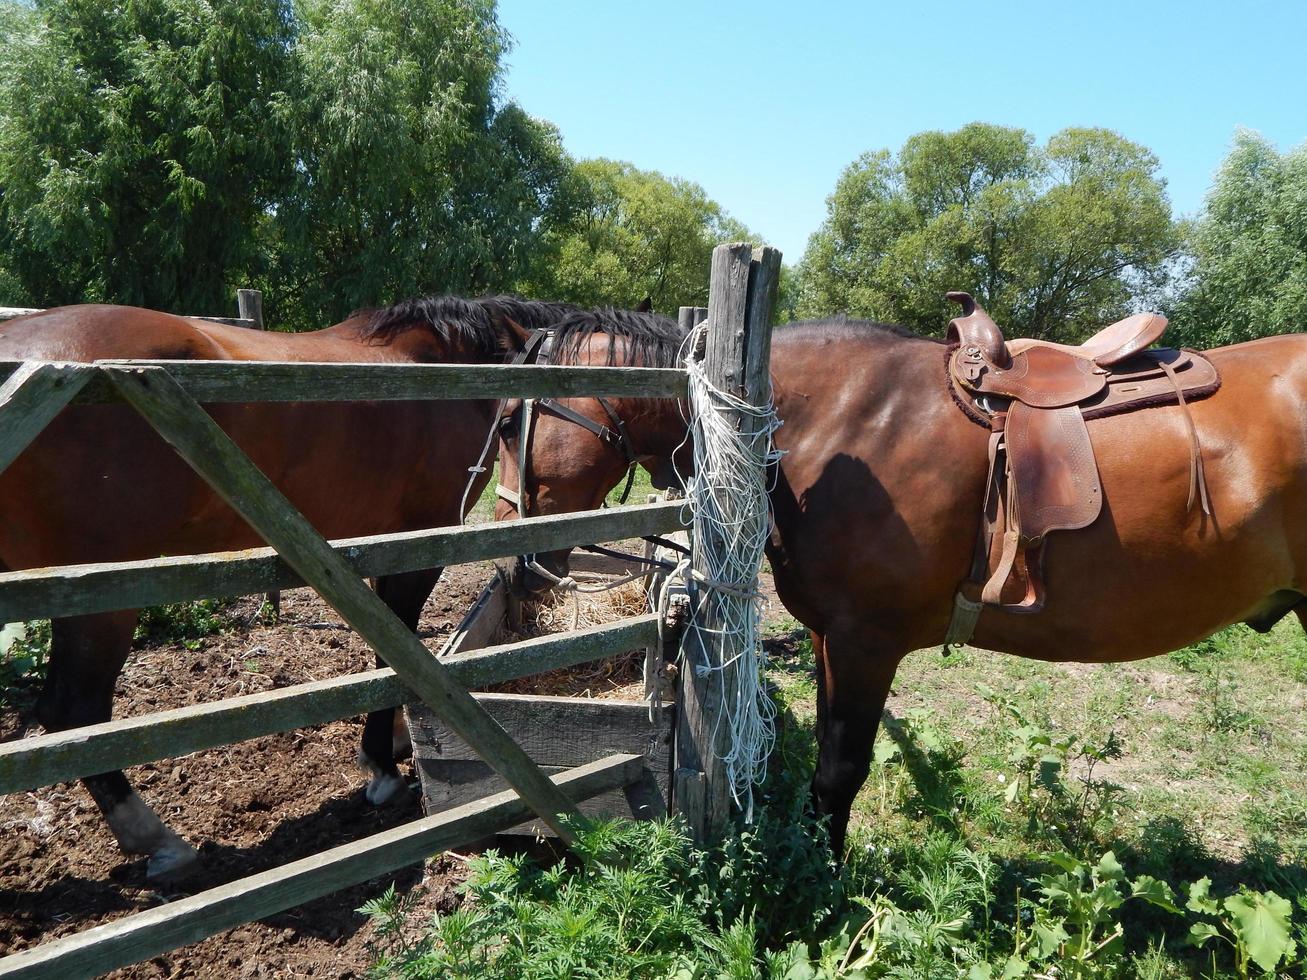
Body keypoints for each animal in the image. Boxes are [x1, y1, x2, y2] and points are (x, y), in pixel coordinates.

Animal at [0, 295, 582, 878]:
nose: (534, 571)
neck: (440, 366)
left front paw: (393, 740)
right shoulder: (418, 542)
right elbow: (394, 653)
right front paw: (381, 766)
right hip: (100, 600)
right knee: (73, 712)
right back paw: (156, 838)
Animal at [491, 303, 1307, 857]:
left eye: (503, 424)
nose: (515, 566)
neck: (831, 424)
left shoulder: (866, 641)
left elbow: (840, 771)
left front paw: (824, 890)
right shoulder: (831, 639)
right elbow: (827, 764)